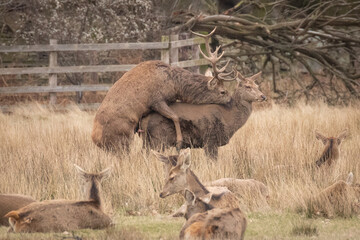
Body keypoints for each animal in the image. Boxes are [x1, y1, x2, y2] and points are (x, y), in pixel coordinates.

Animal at [91, 27, 235, 152]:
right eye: (222, 91)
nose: (231, 99)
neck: (174, 85)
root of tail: (95, 140)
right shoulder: (156, 100)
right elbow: (175, 116)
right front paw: (179, 142)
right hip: (121, 138)